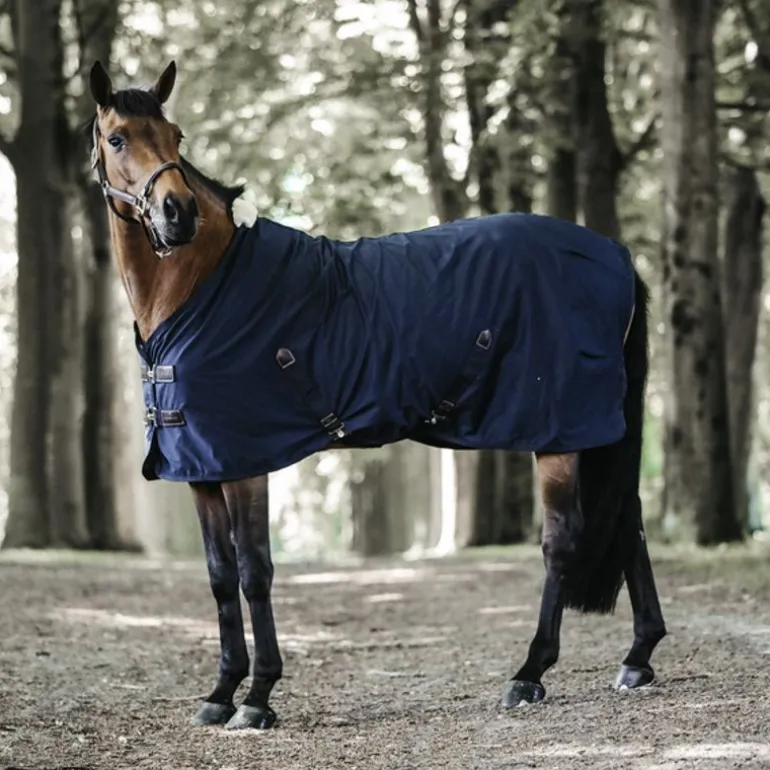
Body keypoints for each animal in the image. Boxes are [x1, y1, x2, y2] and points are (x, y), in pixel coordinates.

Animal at [87, 60, 667, 730]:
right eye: (118, 139)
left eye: (175, 136)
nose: (177, 213)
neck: (206, 286)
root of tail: (615, 255)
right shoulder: (202, 468)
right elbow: (219, 575)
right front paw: (221, 691)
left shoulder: (245, 461)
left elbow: (255, 571)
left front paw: (258, 697)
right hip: (597, 429)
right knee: (629, 520)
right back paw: (638, 658)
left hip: (560, 432)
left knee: (562, 540)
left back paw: (529, 673)